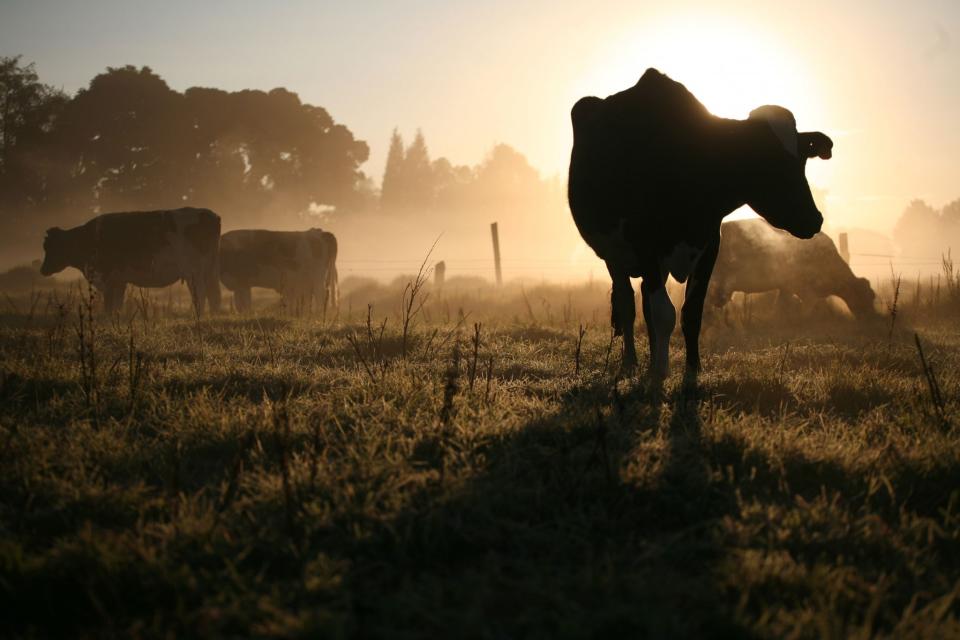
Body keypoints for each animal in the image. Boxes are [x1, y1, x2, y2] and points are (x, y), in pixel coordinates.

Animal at [39, 208, 221, 316]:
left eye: (52, 247)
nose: (43, 270)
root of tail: (210, 214)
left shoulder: (107, 277)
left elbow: (109, 304)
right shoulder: (119, 280)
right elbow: (117, 304)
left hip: (194, 272)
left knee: (200, 295)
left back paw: (198, 316)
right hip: (208, 271)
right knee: (212, 295)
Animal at [568, 69, 832, 380]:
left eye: (802, 158)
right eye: (769, 160)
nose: (814, 219)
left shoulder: (709, 245)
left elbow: (691, 313)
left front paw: (692, 370)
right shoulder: (645, 244)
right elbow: (664, 313)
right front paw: (660, 372)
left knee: (645, 300)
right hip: (613, 253)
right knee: (627, 303)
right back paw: (631, 364)